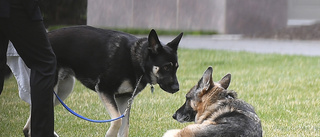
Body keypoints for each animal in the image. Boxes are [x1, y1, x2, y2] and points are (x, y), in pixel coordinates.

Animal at [21, 25, 182, 137]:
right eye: (166, 67)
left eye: (176, 67)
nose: (177, 88)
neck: (136, 59)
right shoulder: (105, 89)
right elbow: (117, 120)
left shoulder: (124, 99)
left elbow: (125, 128)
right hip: (51, 88)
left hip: (63, 89)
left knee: (28, 127)